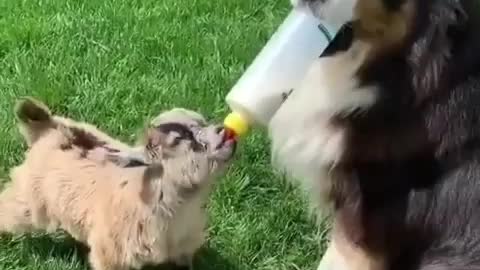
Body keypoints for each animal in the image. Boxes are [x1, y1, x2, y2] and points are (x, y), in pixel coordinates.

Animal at [0, 97, 236, 270]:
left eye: (202, 123)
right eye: (182, 139)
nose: (224, 130)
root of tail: (51, 128)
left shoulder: (184, 244)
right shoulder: (111, 253)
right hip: (29, 198)